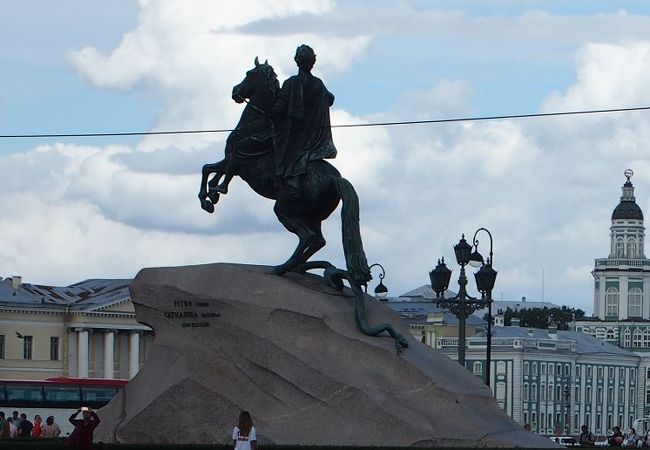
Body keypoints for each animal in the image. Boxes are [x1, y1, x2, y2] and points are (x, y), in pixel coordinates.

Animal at [197, 57, 408, 352]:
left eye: (249, 74)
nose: (235, 92)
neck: (257, 125)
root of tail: (336, 179)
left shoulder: (236, 160)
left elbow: (212, 170)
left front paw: (210, 197)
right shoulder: (232, 163)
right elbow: (212, 170)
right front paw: (213, 195)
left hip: (284, 210)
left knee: (308, 237)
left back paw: (283, 268)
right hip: (313, 215)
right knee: (317, 240)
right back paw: (301, 268)